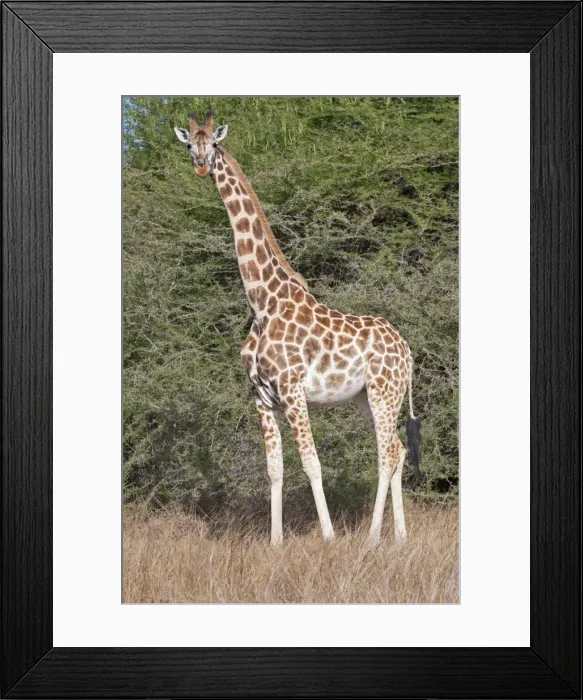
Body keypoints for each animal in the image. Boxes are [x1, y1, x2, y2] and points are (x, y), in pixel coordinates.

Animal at [174, 111, 421, 546]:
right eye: (190, 144)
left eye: (215, 144)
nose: (202, 165)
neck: (262, 303)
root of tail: (407, 351)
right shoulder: (261, 395)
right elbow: (274, 468)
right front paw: (275, 542)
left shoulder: (292, 389)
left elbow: (311, 462)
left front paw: (329, 537)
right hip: (367, 397)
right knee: (397, 448)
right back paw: (399, 537)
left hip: (384, 392)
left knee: (387, 452)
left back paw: (373, 537)